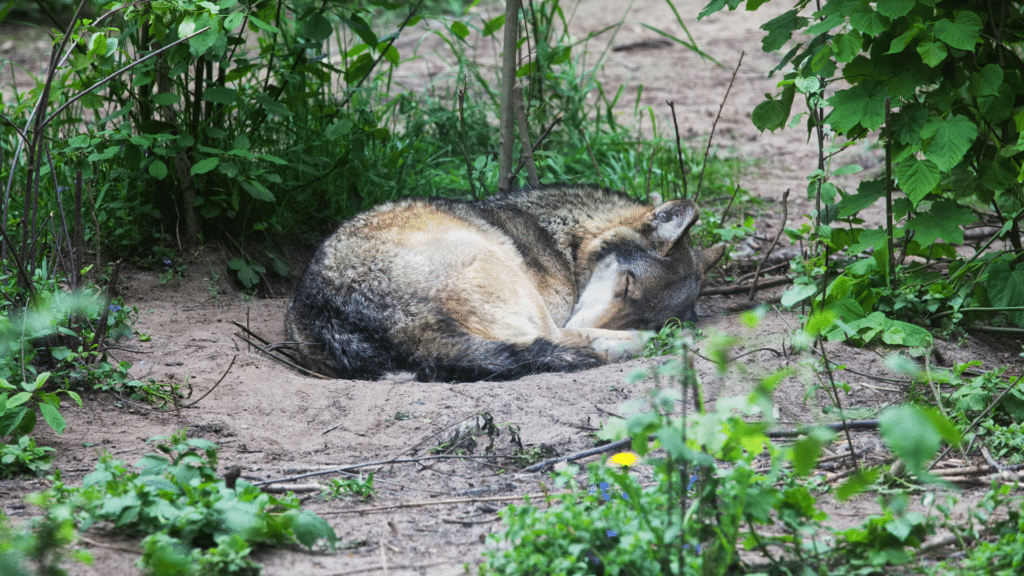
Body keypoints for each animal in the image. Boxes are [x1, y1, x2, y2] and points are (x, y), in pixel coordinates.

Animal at [284, 184, 724, 381]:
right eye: (627, 286)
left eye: (639, 311)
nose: (648, 329)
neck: (565, 240)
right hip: (507, 275)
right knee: (560, 340)